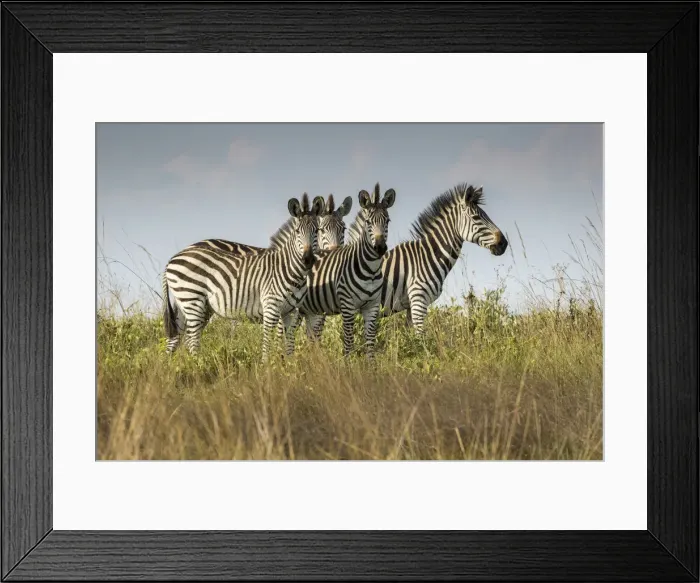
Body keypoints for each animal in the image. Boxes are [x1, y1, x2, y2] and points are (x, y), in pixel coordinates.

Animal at [161, 193, 325, 361]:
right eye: (298, 231)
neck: (291, 270)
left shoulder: (292, 311)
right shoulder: (271, 307)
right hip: (192, 299)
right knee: (191, 340)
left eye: (317, 231)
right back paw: (196, 364)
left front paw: (289, 365)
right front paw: (267, 365)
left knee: (177, 338)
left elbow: (290, 343)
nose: (308, 259)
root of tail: (172, 259)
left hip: (190, 305)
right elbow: (267, 341)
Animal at [287, 183, 396, 359]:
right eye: (368, 222)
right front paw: (348, 364)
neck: (371, 271)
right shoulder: (347, 305)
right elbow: (349, 342)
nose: (380, 248)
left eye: (387, 220)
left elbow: (370, 343)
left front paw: (371, 366)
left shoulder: (372, 306)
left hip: (311, 310)